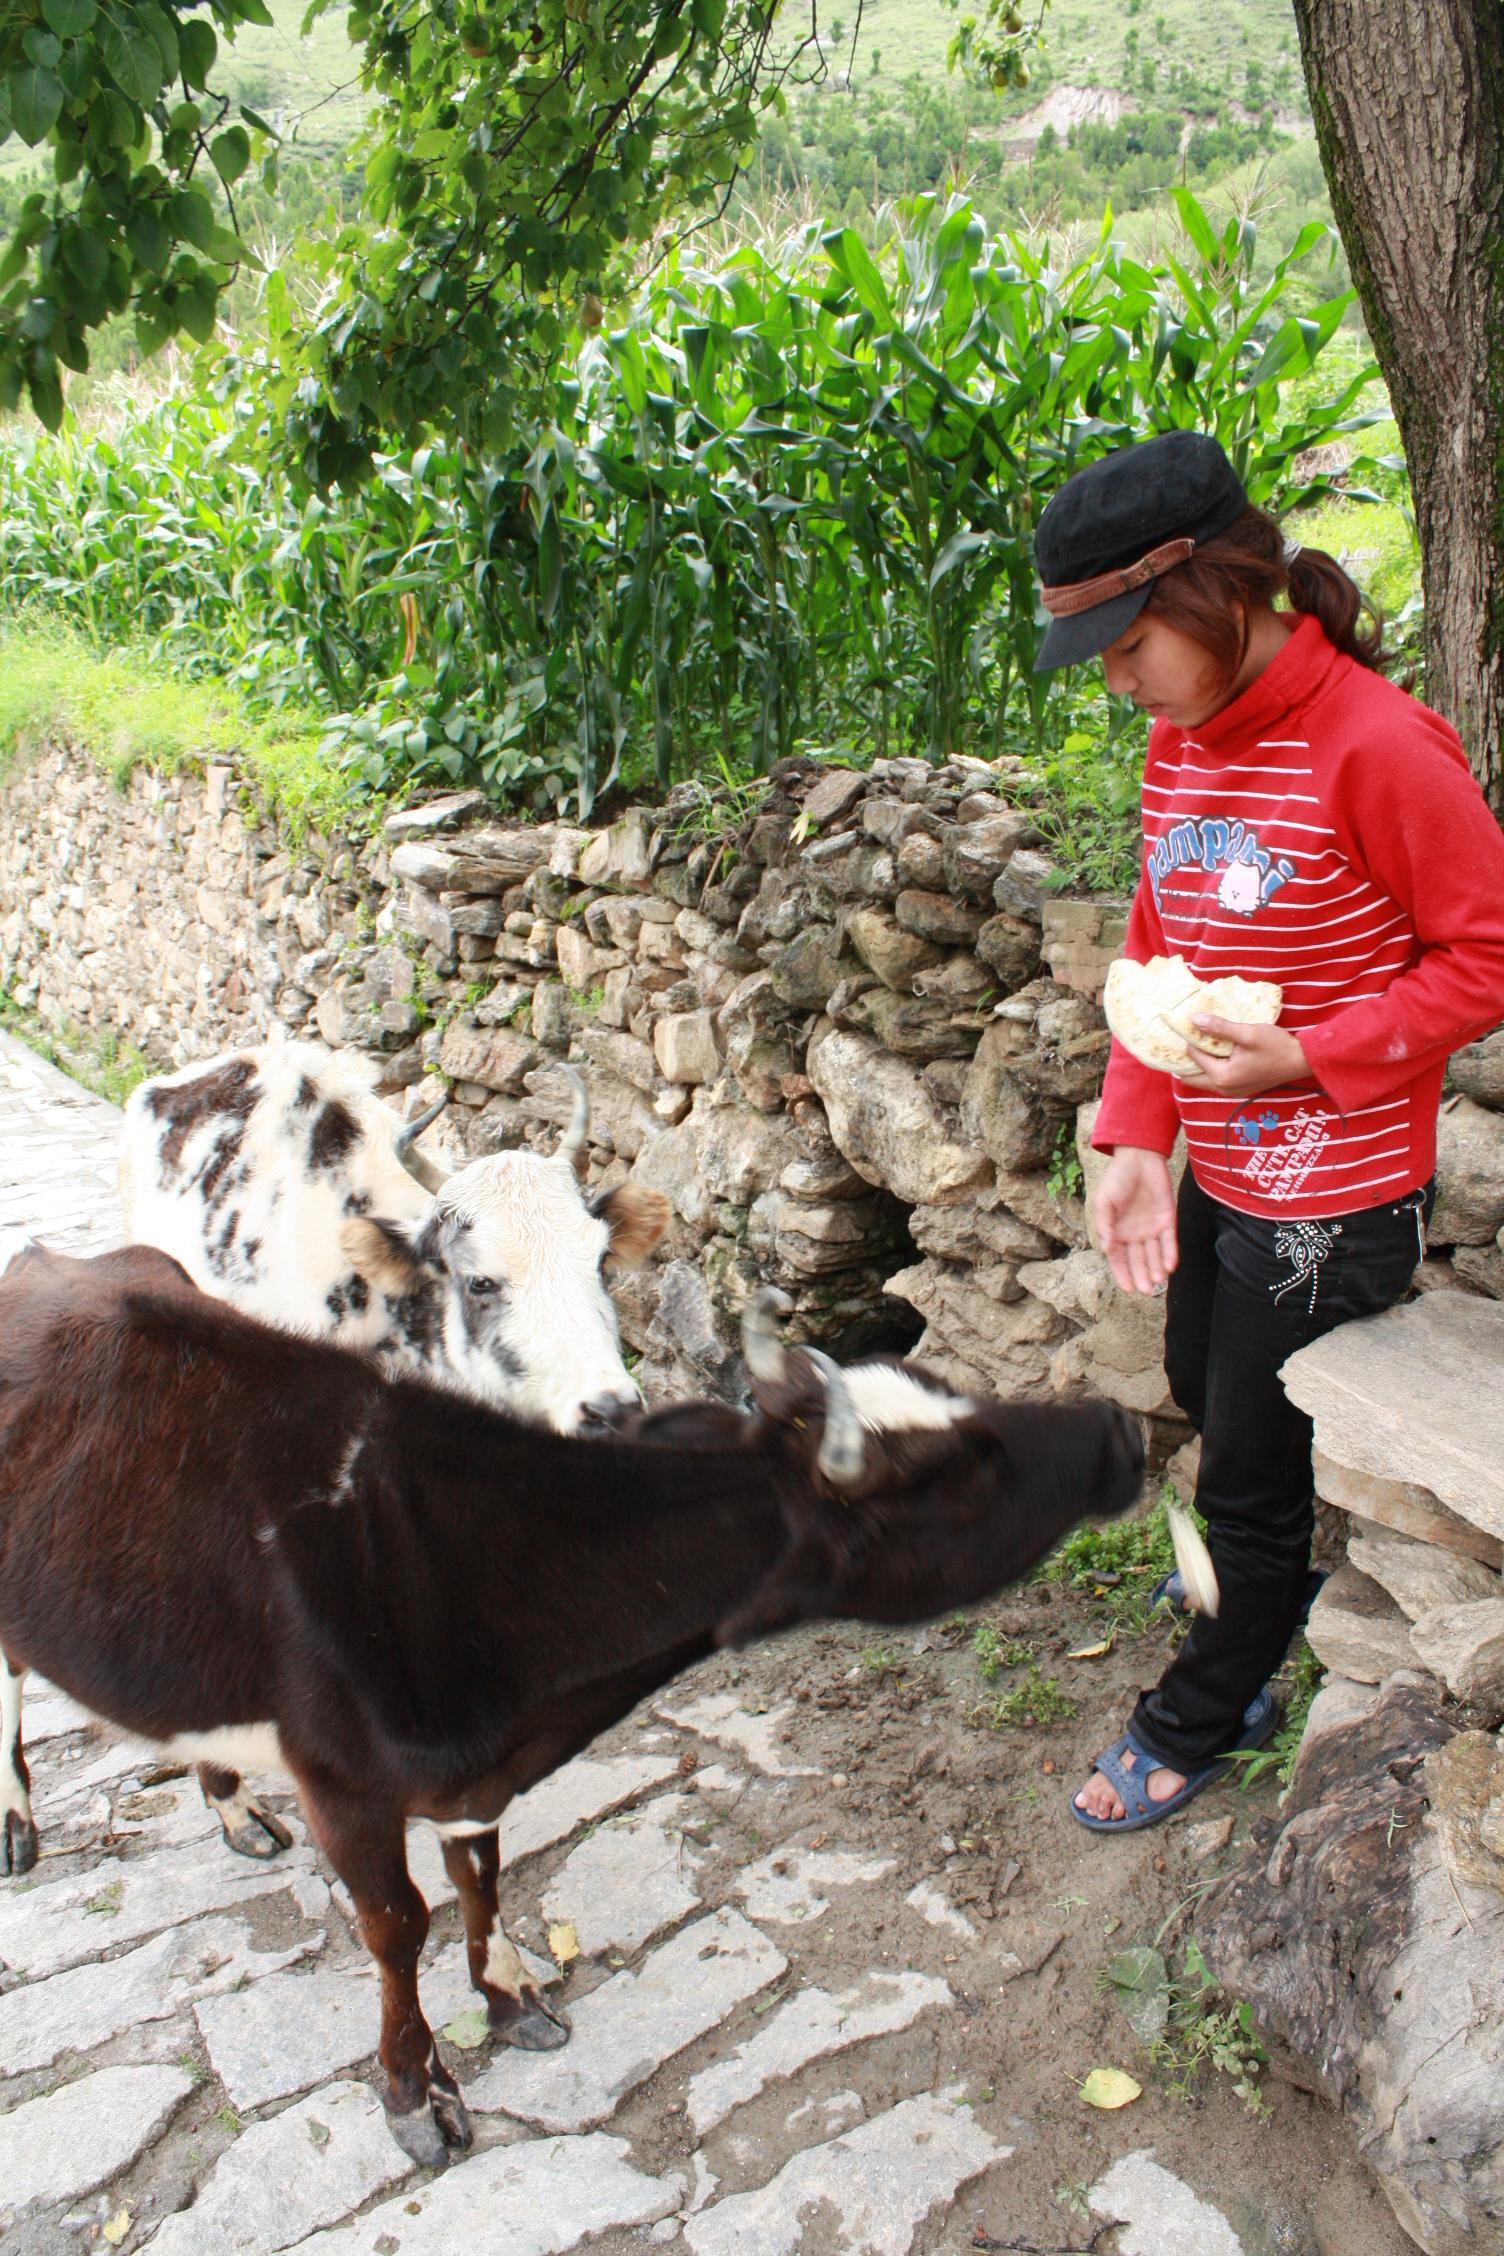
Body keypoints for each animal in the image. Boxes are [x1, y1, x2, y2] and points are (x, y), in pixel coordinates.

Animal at [0, 1243, 1143, 2165]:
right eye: (962, 1473)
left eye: (947, 1384)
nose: (1120, 1426)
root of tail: (60, 1257)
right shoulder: (344, 1783)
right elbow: (396, 1928)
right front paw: (415, 2095)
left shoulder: (471, 1772)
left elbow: (481, 1876)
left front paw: (511, 1999)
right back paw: (21, 1829)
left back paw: (232, 1806)